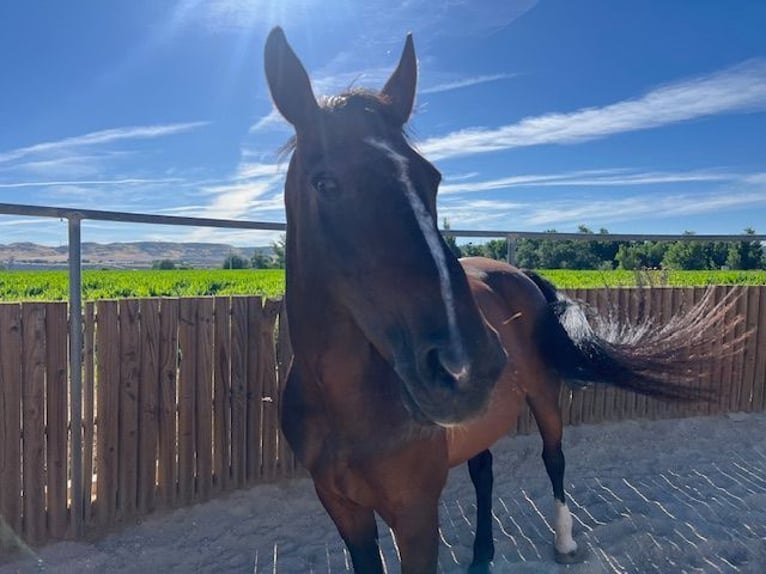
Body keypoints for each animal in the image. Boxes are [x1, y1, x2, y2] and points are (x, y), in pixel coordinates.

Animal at [263, 27, 742, 573]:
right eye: (325, 183)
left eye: (431, 179)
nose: (468, 365)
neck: (344, 403)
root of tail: (517, 275)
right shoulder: (344, 512)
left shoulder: (415, 513)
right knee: (485, 471)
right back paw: (482, 553)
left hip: (544, 397)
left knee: (554, 458)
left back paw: (564, 542)